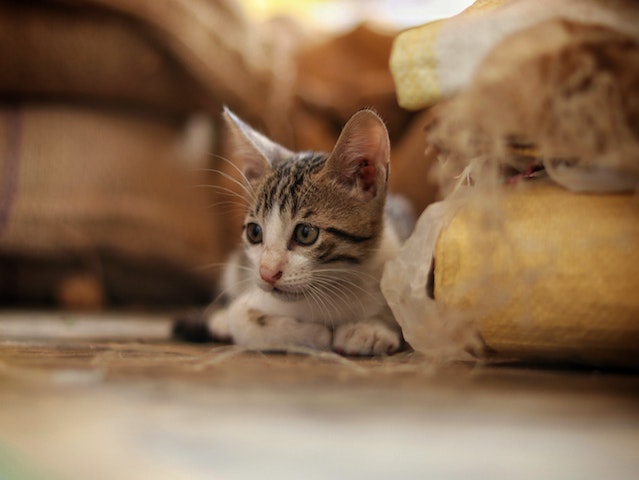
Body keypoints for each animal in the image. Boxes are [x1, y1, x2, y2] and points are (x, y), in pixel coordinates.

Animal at [195, 109, 408, 356]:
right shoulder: (251, 298)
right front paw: (314, 334)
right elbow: (242, 319)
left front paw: (370, 330)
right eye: (254, 232)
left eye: (306, 233)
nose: (267, 273)